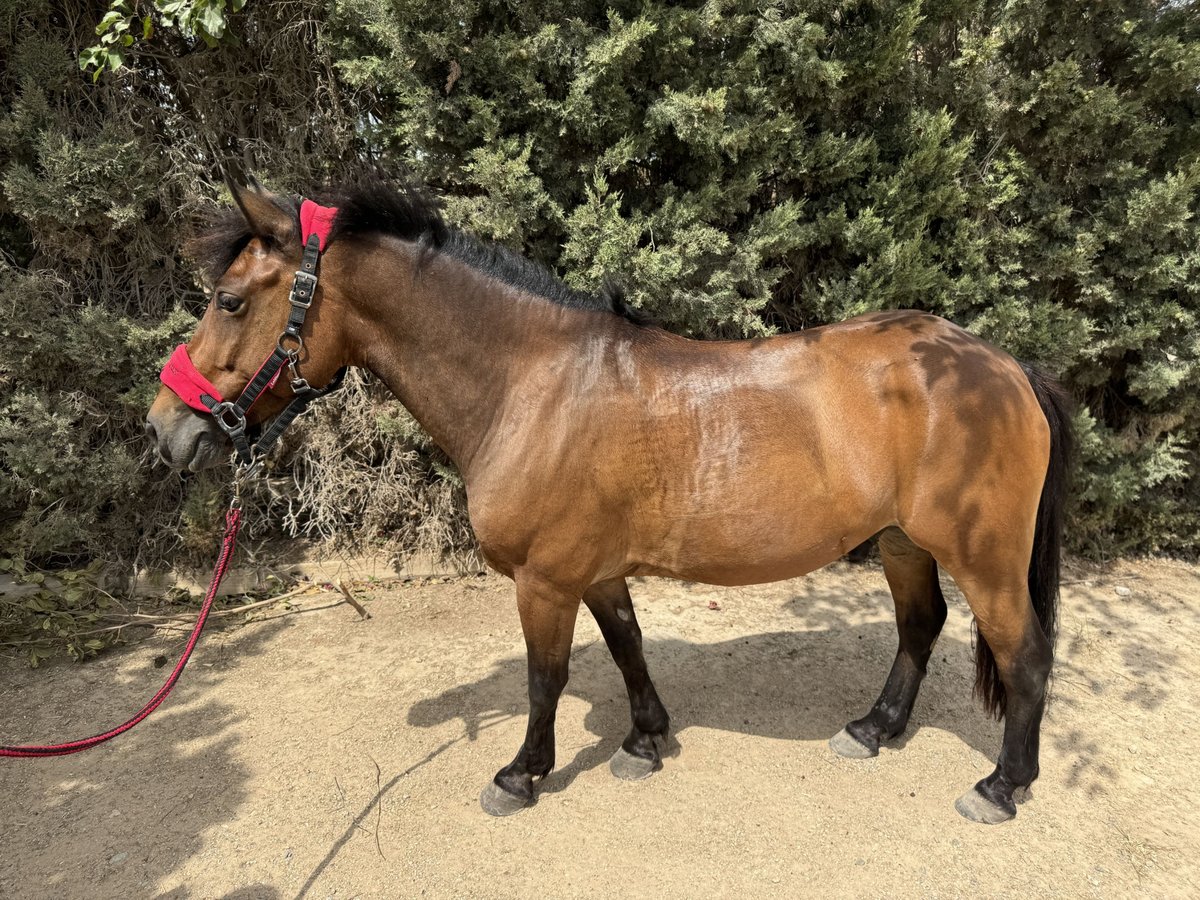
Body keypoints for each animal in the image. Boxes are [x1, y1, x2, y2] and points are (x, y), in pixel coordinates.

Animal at [146, 175, 1072, 825]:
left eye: (230, 300)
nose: (165, 429)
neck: (534, 384)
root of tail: (1004, 365)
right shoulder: (592, 570)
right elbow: (627, 646)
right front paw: (646, 739)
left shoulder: (545, 579)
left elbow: (544, 677)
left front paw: (521, 774)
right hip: (902, 541)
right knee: (920, 627)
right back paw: (873, 730)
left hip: (982, 556)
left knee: (1024, 654)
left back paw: (1002, 785)